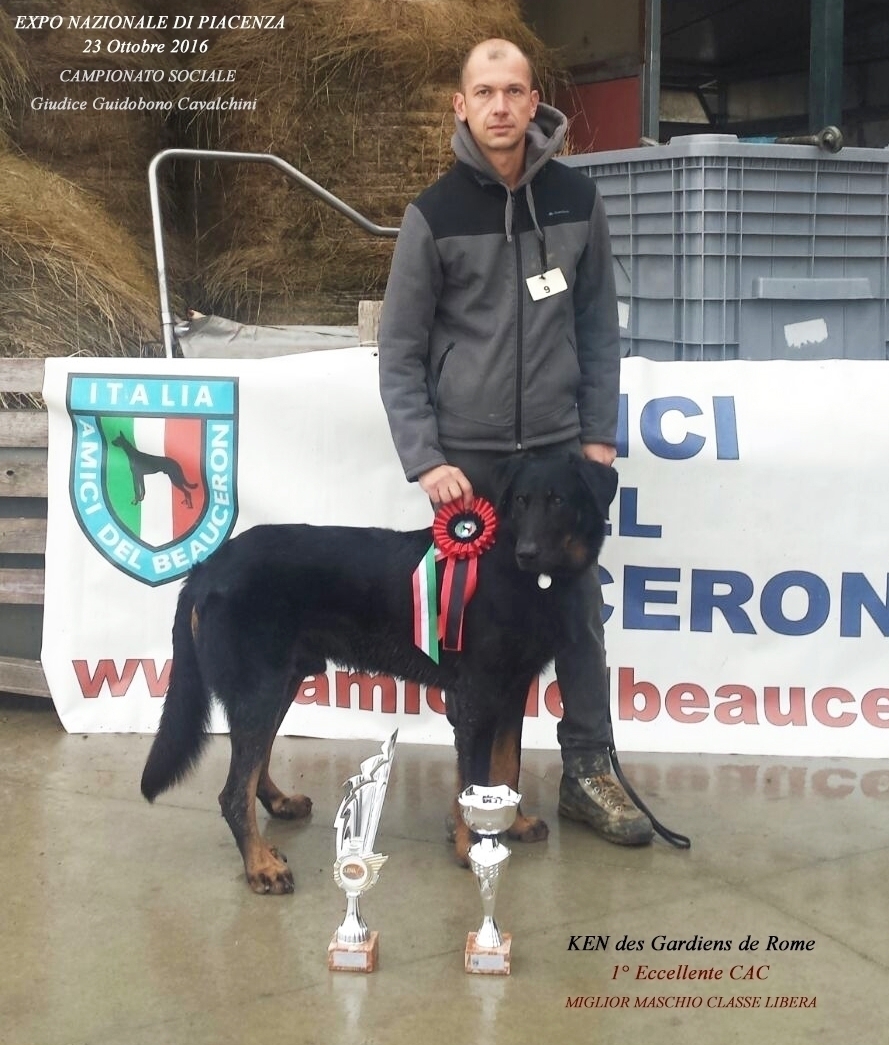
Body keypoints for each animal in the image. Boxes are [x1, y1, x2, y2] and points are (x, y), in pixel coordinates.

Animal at [141, 453, 618, 894]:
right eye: (520, 501)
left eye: (558, 501)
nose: (527, 553)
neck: (518, 574)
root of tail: (206, 568)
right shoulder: (478, 696)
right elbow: (474, 777)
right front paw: (470, 847)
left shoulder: (512, 691)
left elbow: (507, 767)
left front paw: (512, 823)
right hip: (261, 686)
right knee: (234, 790)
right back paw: (260, 866)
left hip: (280, 682)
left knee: (255, 767)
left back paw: (278, 807)